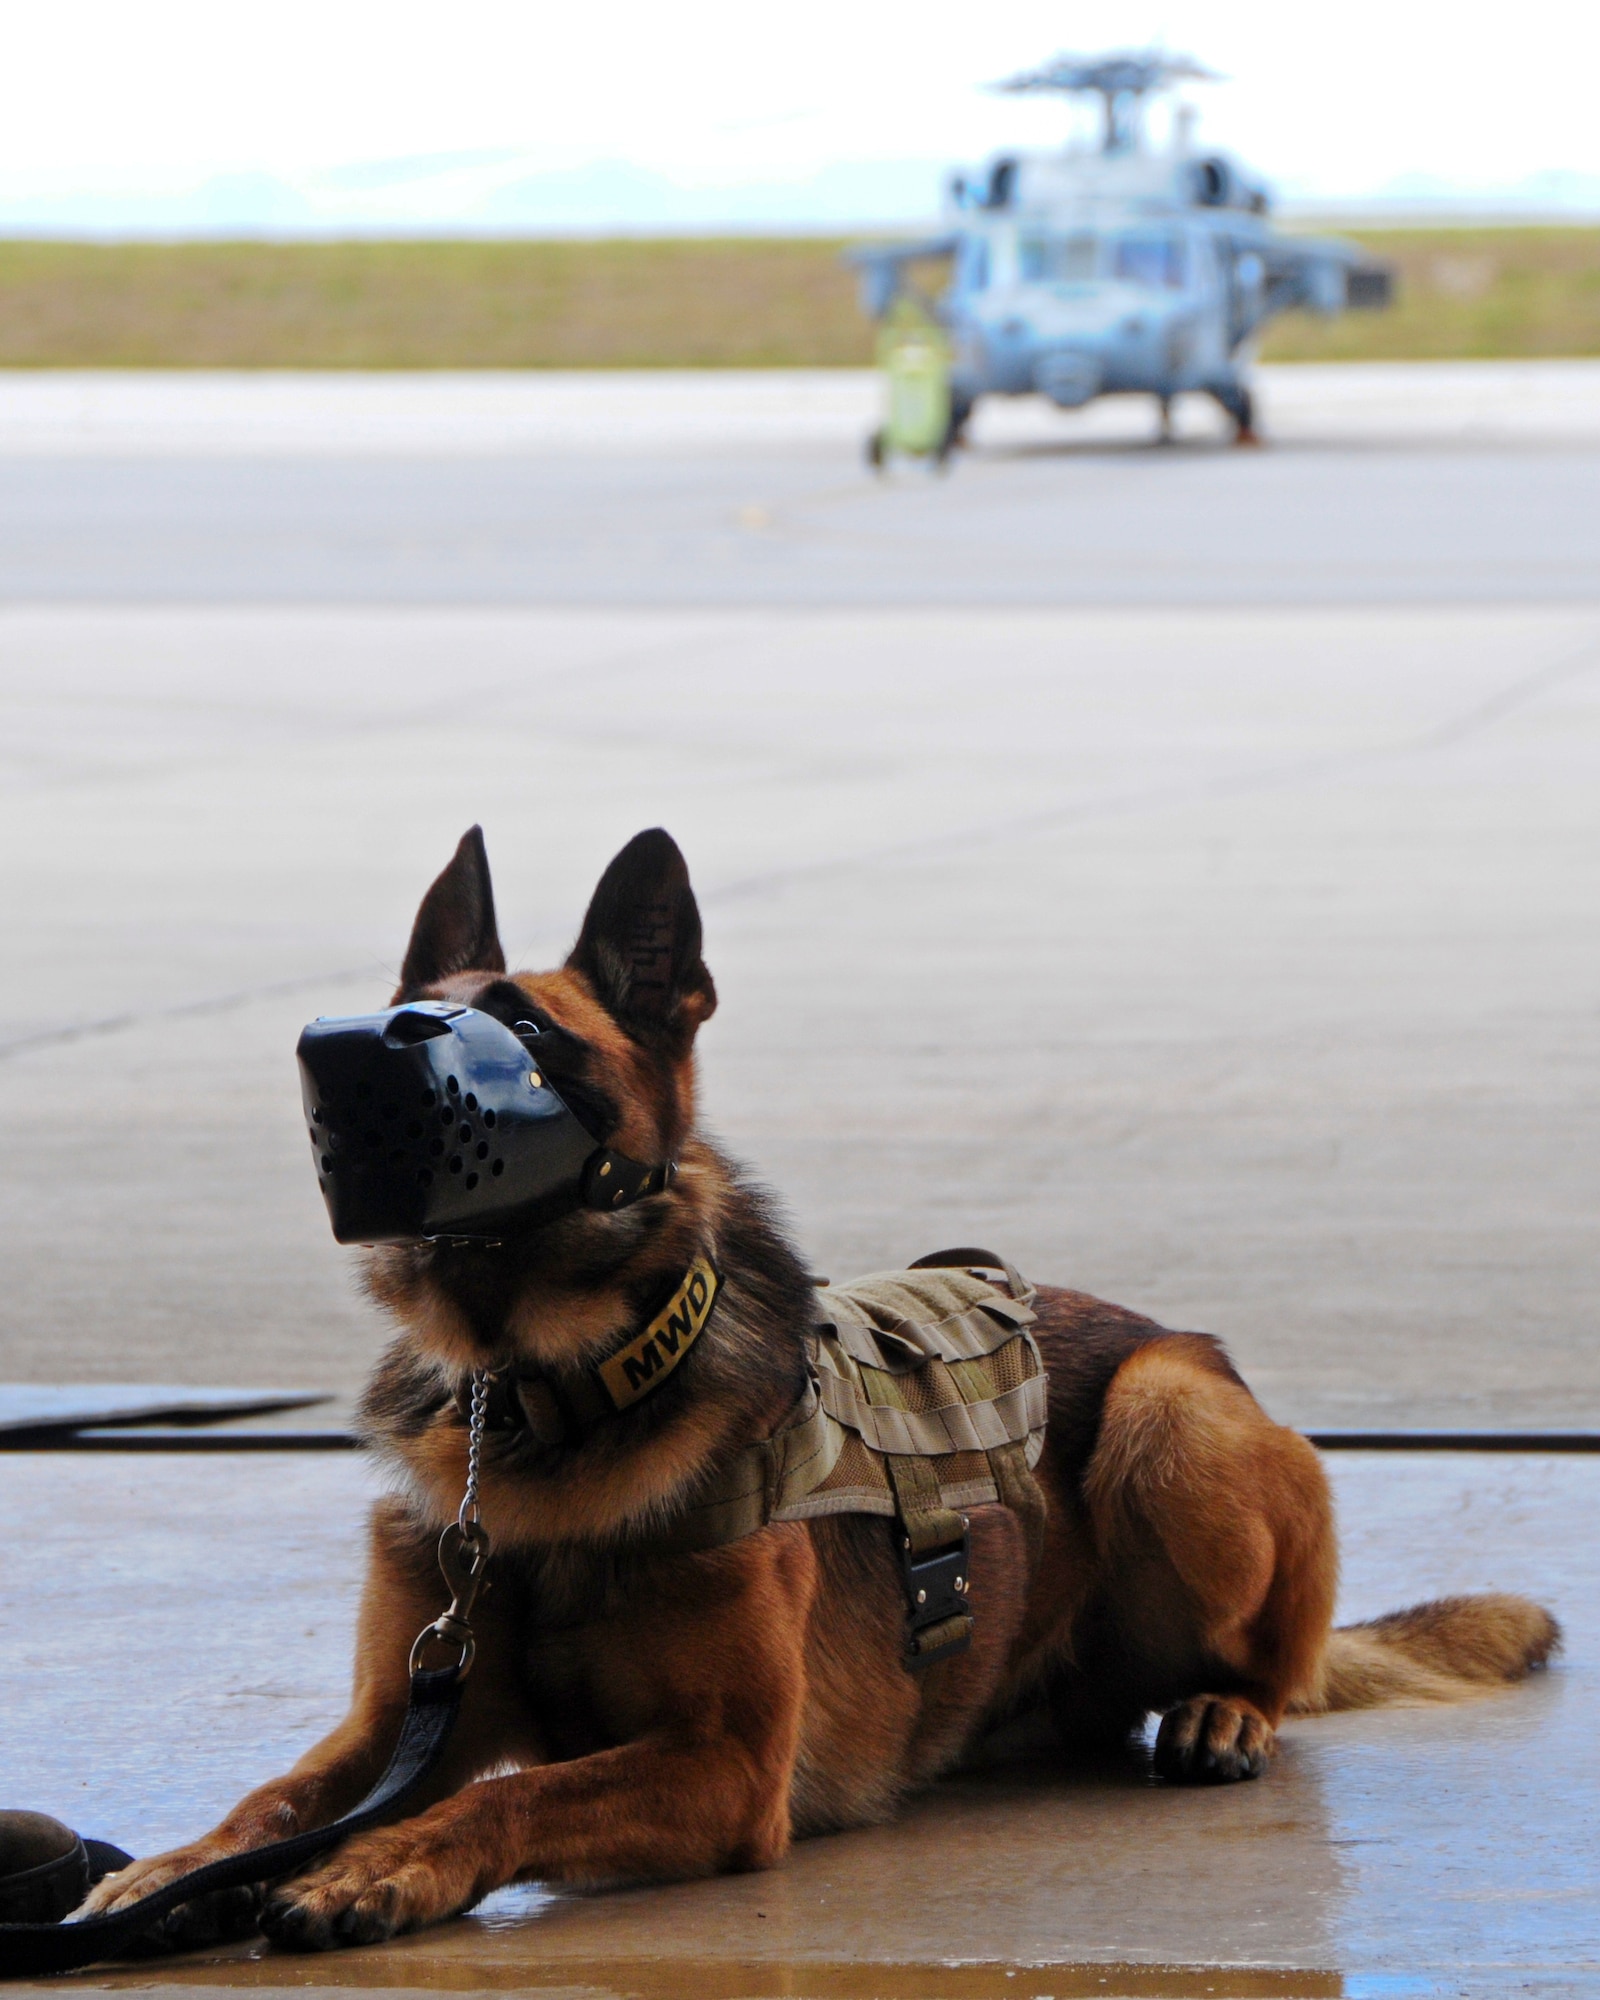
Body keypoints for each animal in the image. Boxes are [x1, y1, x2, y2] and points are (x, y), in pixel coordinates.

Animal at [81, 828, 1560, 1952]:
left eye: (523, 1031)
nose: (338, 1055)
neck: (545, 1407)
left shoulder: (727, 1765)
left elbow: (512, 1796)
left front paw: (379, 1864)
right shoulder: (399, 1719)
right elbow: (278, 1797)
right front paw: (177, 1866)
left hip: (1170, 1418)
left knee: (1271, 1662)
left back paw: (1221, 1710)